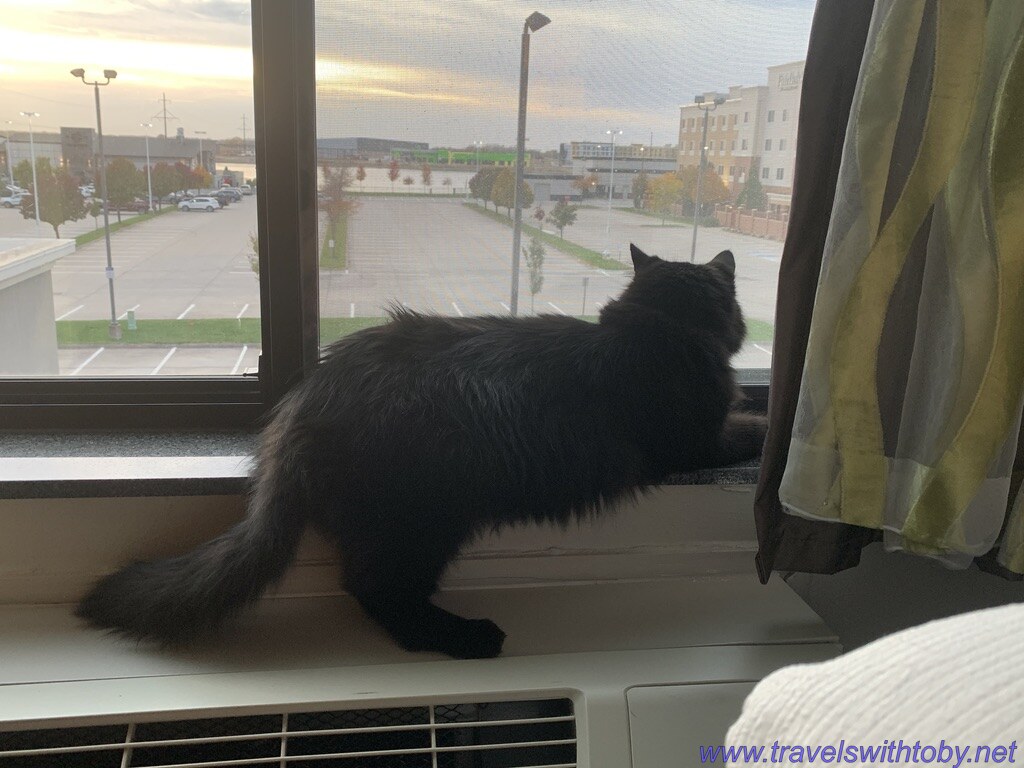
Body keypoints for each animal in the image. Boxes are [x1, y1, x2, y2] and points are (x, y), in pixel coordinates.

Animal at [76, 244, 766, 659]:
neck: (658, 328)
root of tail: (303, 406)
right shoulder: (701, 439)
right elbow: (755, 423)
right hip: (425, 522)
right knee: (378, 593)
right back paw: (468, 637)